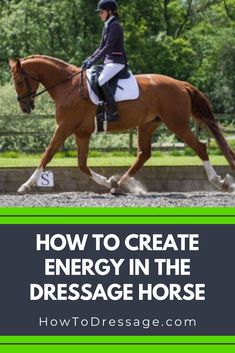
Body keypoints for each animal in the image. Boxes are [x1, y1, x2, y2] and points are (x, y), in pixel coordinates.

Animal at [9, 55, 235, 194]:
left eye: (19, 81)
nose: (25, 108)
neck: (68, 86)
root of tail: (180, 84)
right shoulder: (82, 133)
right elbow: (81, 164)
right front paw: (107, 181)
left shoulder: (64, 127)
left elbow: (47, 155)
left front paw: (26, 185)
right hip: (147, 125)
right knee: (144, 154)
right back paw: (118, 184)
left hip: (176, 124)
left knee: (200, 147)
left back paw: (219, 182)